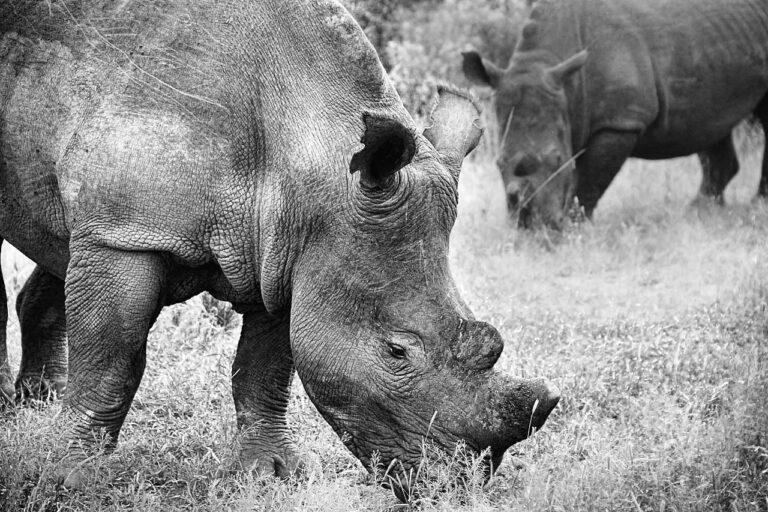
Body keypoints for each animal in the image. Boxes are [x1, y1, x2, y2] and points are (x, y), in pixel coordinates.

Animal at [0, 0, 559, 496]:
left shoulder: (285, 252)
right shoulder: (127, 233)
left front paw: (271, 473)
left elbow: (265, 366)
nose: (458, 485)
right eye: (396, 352)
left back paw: (38, 402)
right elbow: (111, 356)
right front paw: (71, 478)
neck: (310, 148)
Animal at [463, 0, 768, 229]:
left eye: (558, 159)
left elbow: (590, 180)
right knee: (711, 125)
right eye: (498, 163)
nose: (528, 225)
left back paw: (756, 208)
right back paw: (699, 212)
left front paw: (573, 230)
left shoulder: (621, 122)